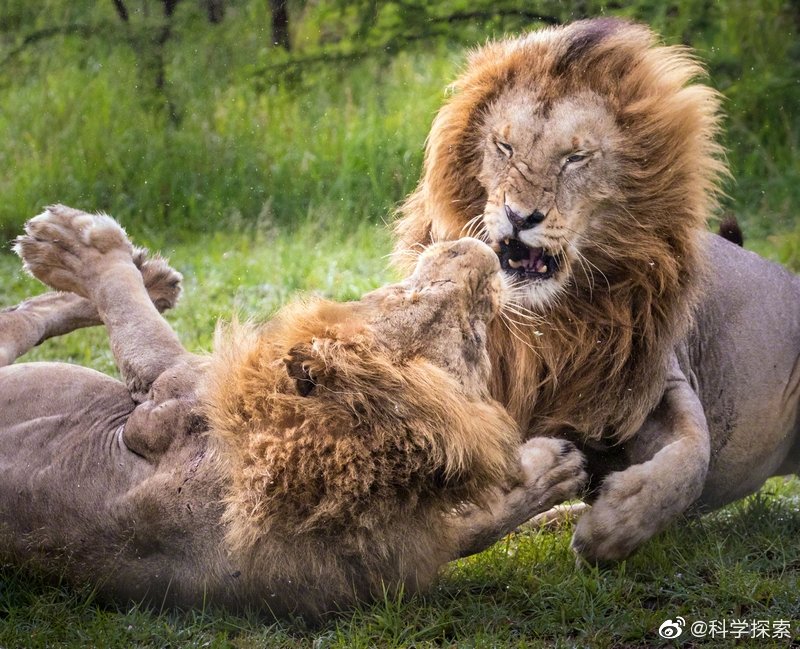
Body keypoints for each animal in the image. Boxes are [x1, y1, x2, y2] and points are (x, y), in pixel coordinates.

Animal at [0, 205, 588, 616]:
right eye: (402, 298)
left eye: (473, 341)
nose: (484, 257)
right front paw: (556, 474)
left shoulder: (165, 390)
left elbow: (128, 309)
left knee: (17, 319)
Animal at [394, 17, 800, 560]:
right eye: (504, 148)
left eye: (575, 158)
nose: (520, 216)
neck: (550, 324)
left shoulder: (653, 380)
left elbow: (692, 460)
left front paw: (611, 528)